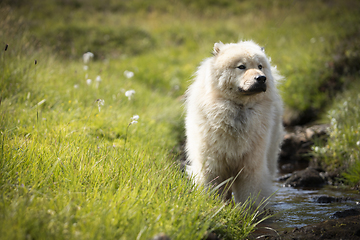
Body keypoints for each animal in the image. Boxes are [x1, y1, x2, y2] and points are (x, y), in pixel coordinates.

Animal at [186, 40, 284, 205]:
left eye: (260, 66)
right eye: (241, 66)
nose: (261, 78)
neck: (238, 110)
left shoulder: (251, 165)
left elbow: (250, 192)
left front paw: (251, 209)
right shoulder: (212, 164)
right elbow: (211, 187)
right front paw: (212, 204)